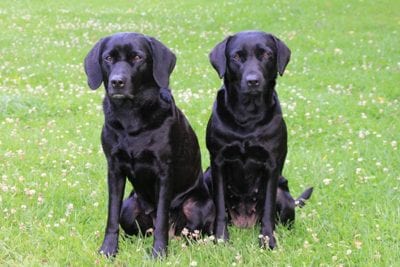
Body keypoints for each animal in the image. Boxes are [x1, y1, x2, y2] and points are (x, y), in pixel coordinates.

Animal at [83, 33, 216, 260]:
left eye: (137, 57)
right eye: (108, 58)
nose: (117, 82)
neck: (131, 117)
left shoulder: (164, 172)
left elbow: (162, 218)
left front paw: (159, 252)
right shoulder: (114, 169)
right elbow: (111, 217)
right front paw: (108, 249)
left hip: (196, 206)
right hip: (129, 207)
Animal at [206, 30, 312, 249]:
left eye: (266, 55)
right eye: (237, 57)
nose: (253, 81)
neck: (248, 116)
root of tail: (244, 223)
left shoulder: (272, 164)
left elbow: (268, 209)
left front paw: (268, 241)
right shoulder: (218, 162)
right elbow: (220, 206)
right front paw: (220, 239)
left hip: (283, 194)